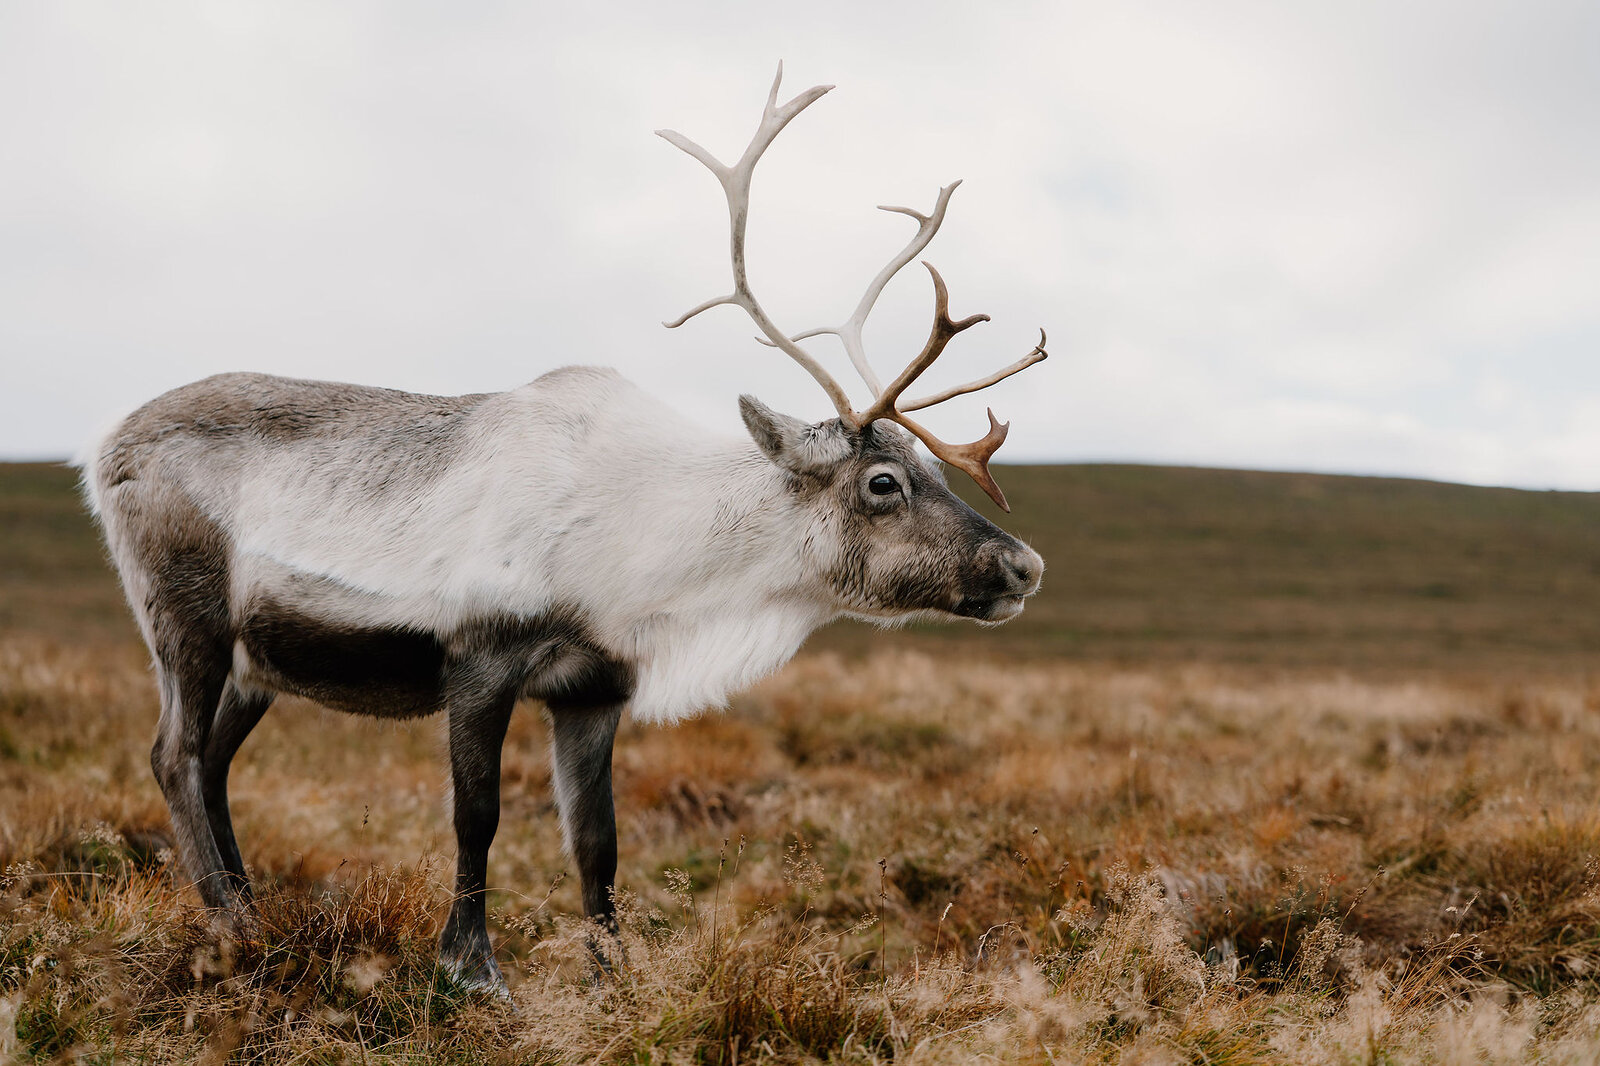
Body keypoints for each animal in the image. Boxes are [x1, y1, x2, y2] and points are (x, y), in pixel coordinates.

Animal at [82, 65, 1047, 992]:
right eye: (883, 482)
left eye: (929, 470)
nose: (1024, 564)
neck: (644, 546)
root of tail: (103, 447)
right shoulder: (479, 657)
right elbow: (477, 817)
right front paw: (470, 971)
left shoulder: (594, 688)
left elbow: (597, 845)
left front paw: (613, 979)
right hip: (186, 621)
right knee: (174, 755)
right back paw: (232, 928)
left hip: (259, 660)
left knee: (212, 764)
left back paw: (252, 913)